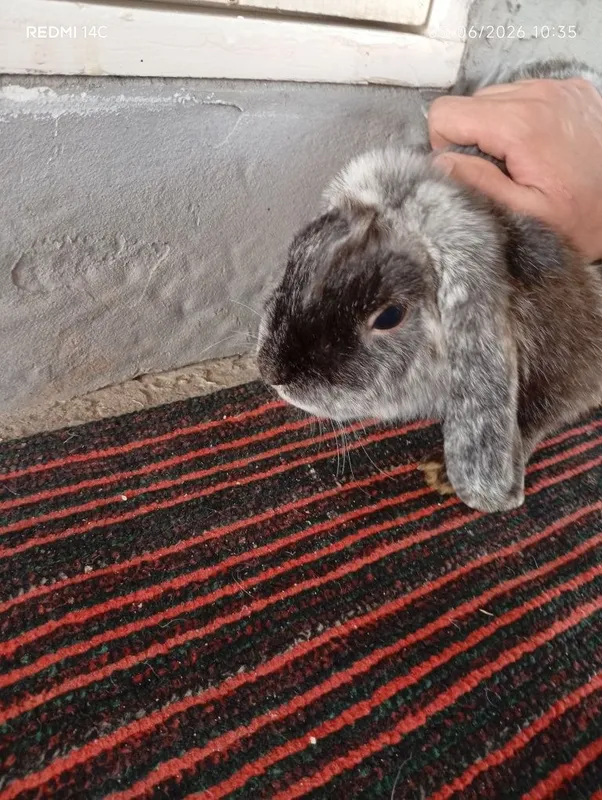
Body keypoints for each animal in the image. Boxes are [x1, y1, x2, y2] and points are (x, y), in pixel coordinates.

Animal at [256, 61, 602, 513]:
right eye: (298, 252)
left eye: (389, 316)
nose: (271, 372)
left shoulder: (574, 367)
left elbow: (535, 415)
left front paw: (444, 475)